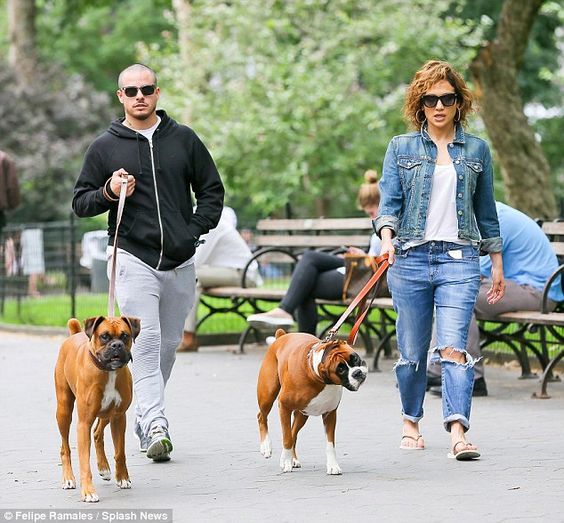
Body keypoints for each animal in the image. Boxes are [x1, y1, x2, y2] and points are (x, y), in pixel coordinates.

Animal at [54, 316, 140, 504]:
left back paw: (104, 468)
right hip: (64, 411)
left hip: (106, 415)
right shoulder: (83, 423)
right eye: (104, 336)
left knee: (97, 433)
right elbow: (84, 461)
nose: (117, 345)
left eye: (125, 336)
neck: (109, 372)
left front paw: (123, 478)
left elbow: (120, 452)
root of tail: (75, 333)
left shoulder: (119, 417)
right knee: (65, 447)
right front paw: (88, 492)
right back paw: (68, 478)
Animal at [258, 332, 368, 474]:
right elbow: (287, 438)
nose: (357, 372)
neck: (317, 376)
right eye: (340, 370)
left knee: (294, 433)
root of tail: (282, 335)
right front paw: (286, 462)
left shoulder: (330, 414)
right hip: (267, 395)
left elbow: (330, 443)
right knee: (262, 417)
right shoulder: (284, 407)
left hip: (302, 415)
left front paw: (332, 465)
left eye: (355, 359)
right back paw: (266, 447)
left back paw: (293, 459)